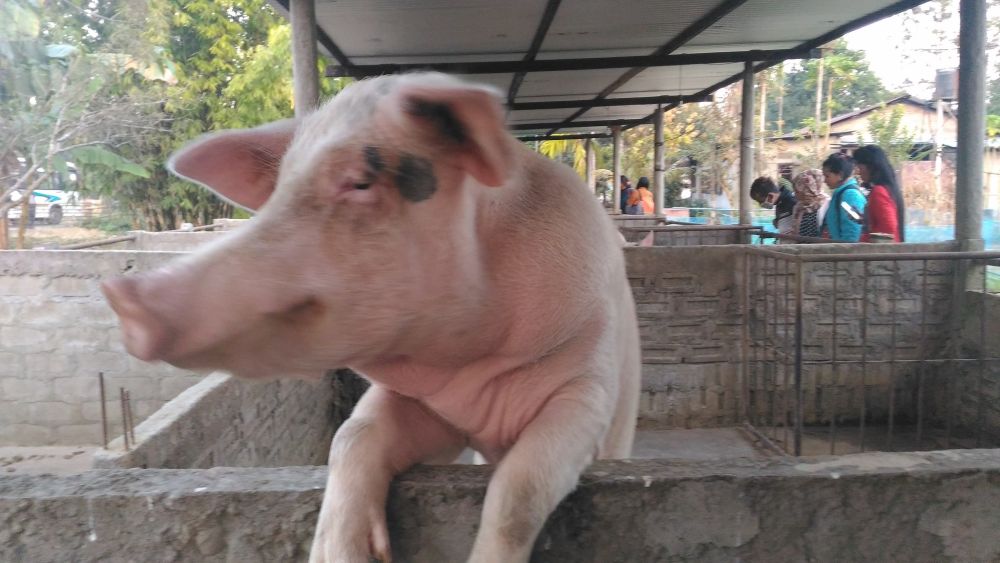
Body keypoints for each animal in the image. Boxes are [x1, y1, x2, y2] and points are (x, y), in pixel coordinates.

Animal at [102, 72, 641, 563]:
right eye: (279, 190)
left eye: (360, 181)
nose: (122, 295)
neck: (471, 378)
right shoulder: (422, 404)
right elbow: (351, 436)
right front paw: (339, 554)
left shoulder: (585, 388)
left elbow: (520, 491)